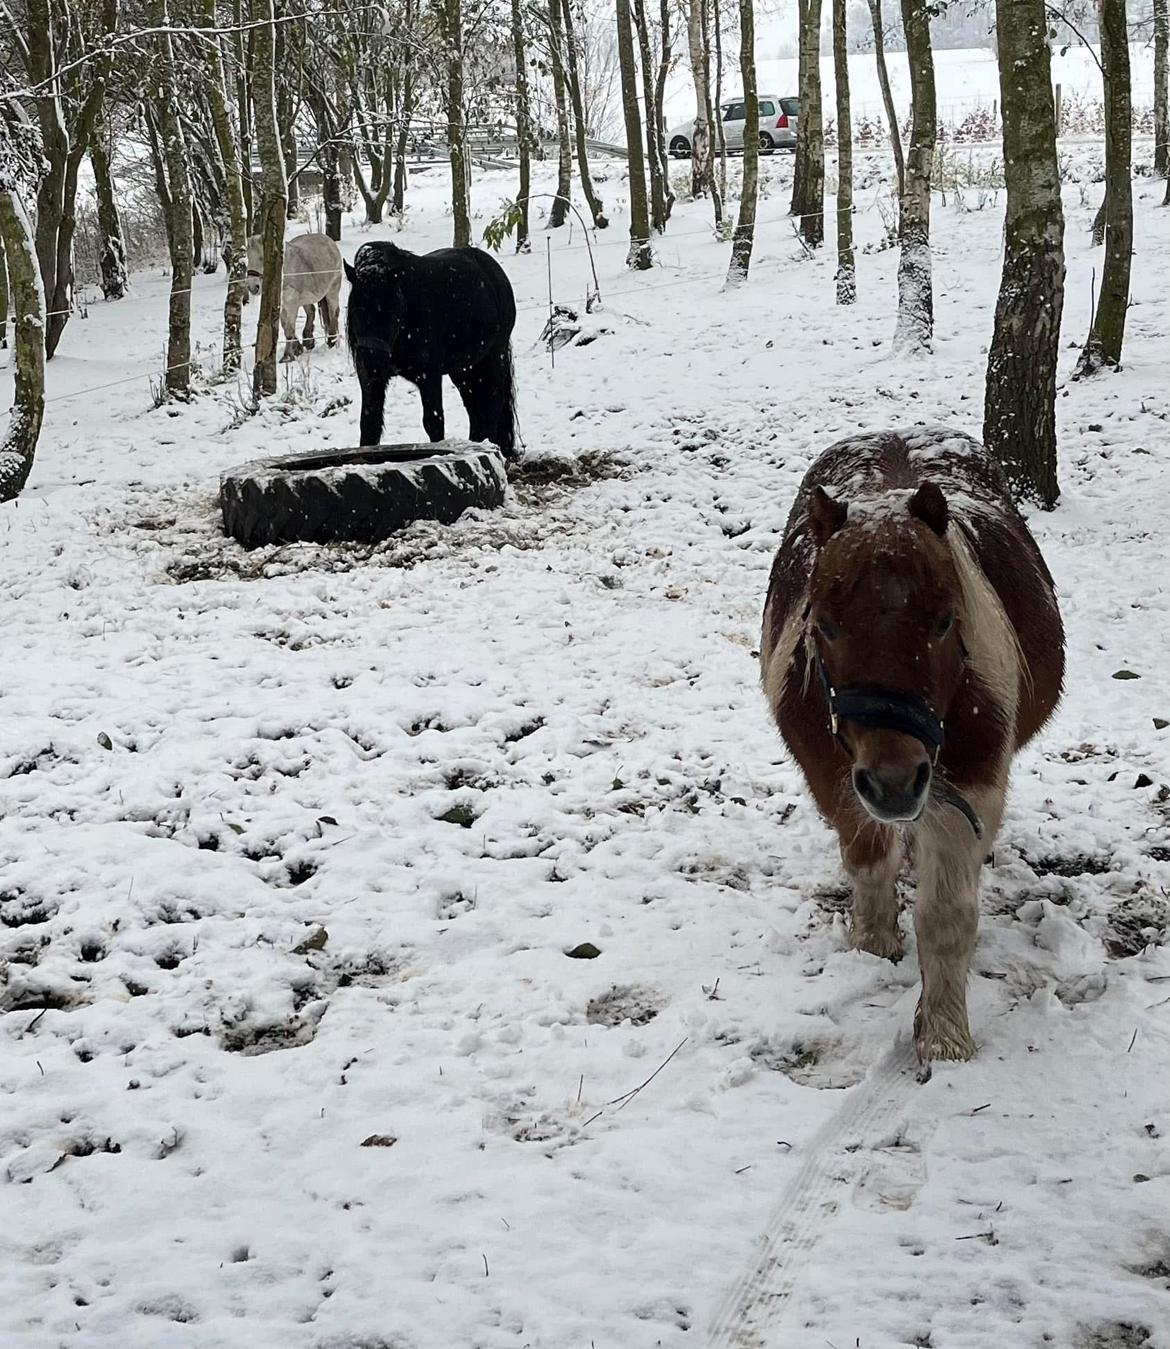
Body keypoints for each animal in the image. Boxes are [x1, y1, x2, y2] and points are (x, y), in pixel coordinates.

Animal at [244, 232, 341, 361]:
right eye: (248, 258)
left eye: (262, 258)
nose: (252, 287)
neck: (283, 272)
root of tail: (330, 241)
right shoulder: (283, 304)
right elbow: (284, 325)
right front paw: (298, 348)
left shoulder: (291, 303)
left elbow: (289, 328)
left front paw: (287, 356)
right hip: (307, 298)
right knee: (311, 311)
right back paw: (308, 340)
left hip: (332, 291)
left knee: (333, 312)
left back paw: (331, 340)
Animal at [341, 246, 518, 464]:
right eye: (356, 308)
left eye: (391, 309)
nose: (374, 364)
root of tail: (492, 268)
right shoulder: (369, 381)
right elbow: (369, 425)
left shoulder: (429, 376)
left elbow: (433, 422)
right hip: (464, 370)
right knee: (475, 411)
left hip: (494, 356)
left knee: (493, 405)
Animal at [766, 426, 1068, 1068]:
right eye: (823, 626)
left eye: (944, 622)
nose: (895, 783)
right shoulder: (835, 782)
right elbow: (868, 861)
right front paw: (873, 946)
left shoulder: (971, 790)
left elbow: (946, 919)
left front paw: (944, 1038)